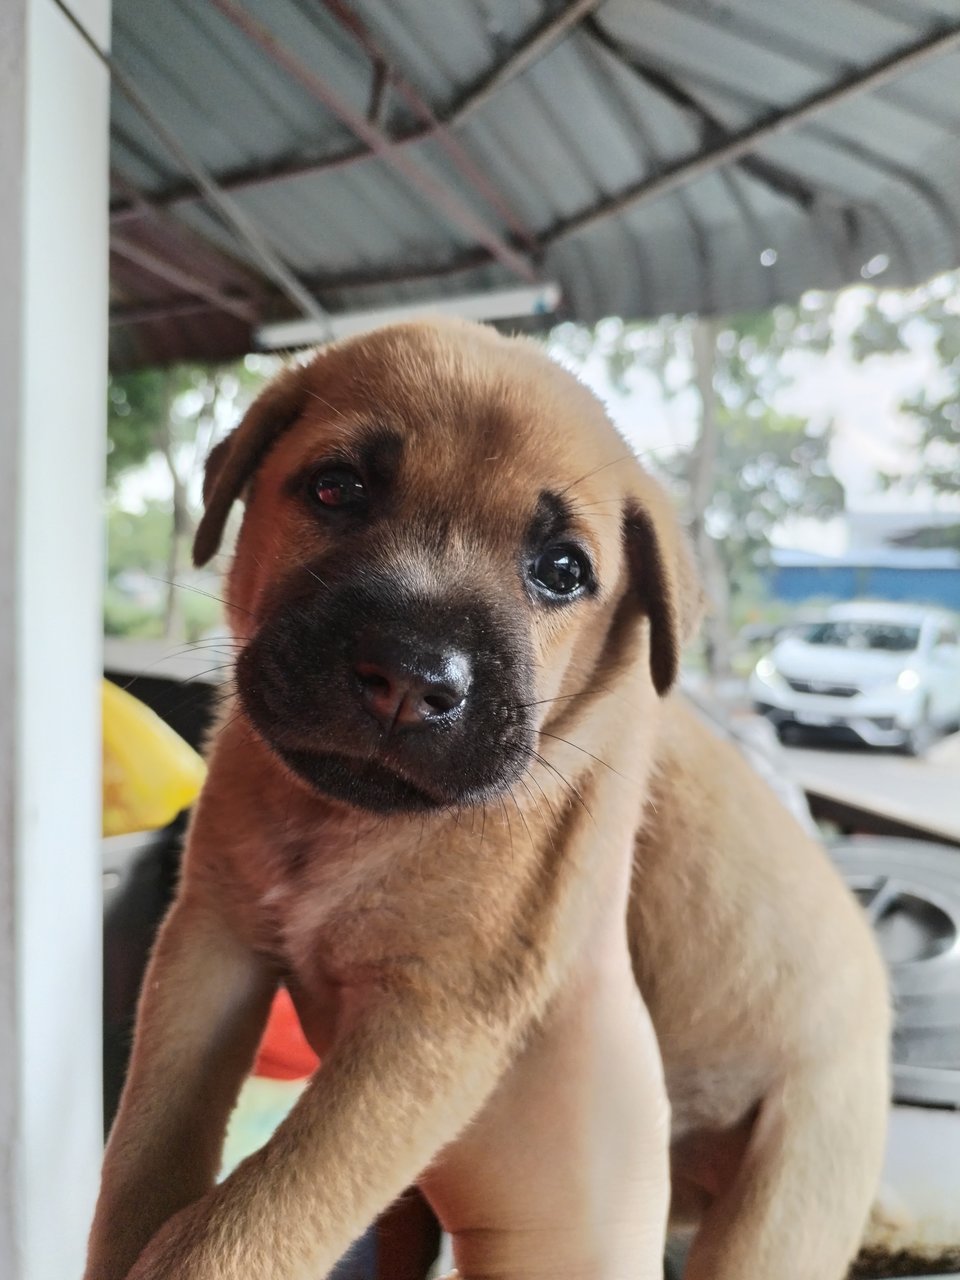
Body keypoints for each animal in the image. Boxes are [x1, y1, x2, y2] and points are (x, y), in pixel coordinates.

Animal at [86, 320, 890, 1280]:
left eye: (563, 570)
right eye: (336, 487)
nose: (408, 677)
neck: (349, 822)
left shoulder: (437, 1021)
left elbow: (259, 1213)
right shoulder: (211, 939)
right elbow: (146, 1155)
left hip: (785, 1203)